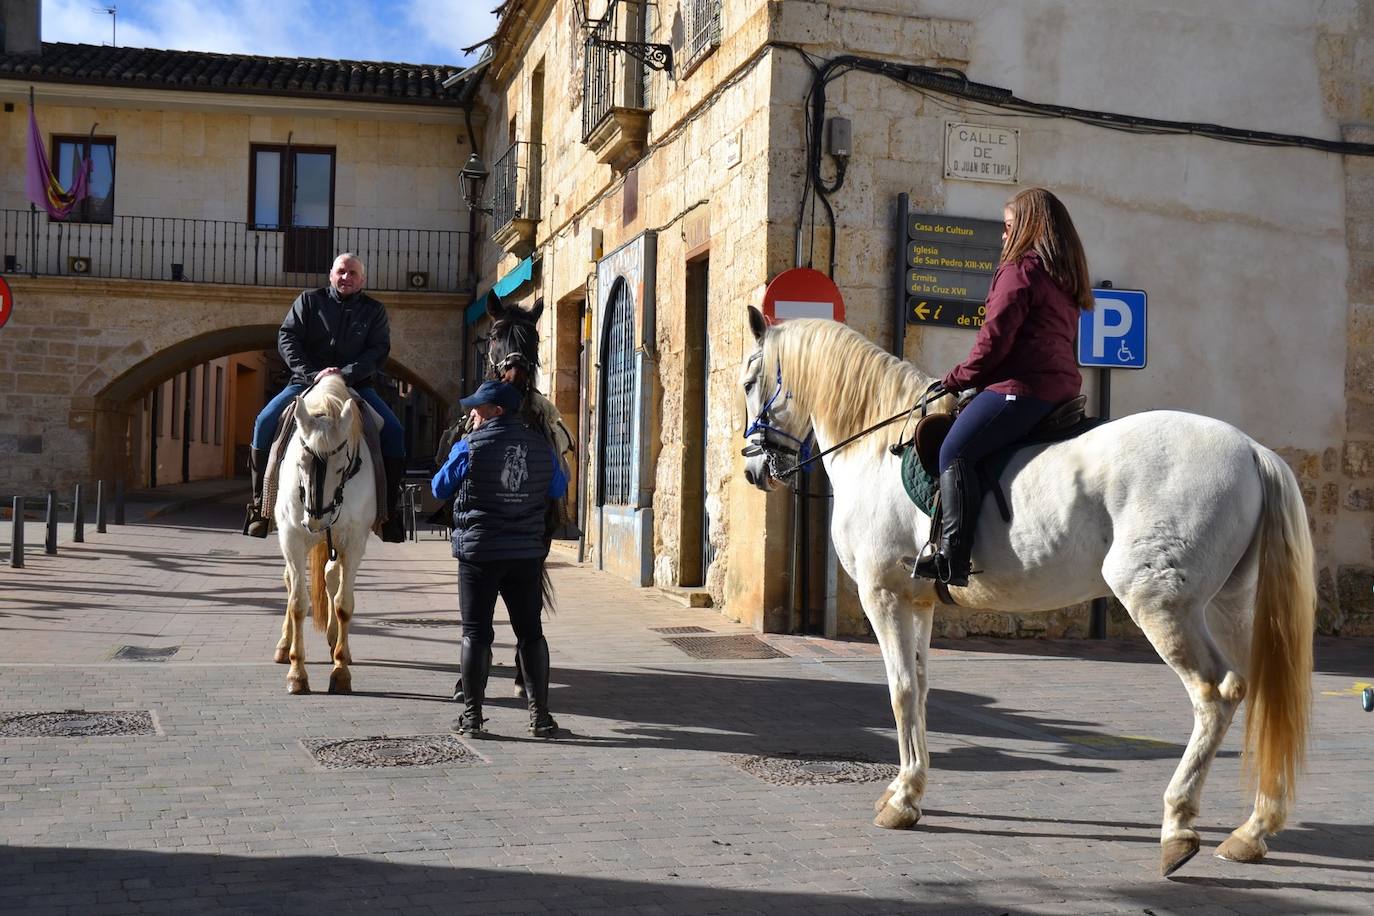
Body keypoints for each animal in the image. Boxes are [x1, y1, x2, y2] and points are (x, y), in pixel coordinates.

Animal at [270, 373, 376, 694]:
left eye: (342, 466)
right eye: (300, 463)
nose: (317, 521)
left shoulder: (354, 542)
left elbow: (343, 604)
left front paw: (340, 671)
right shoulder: (292, 538)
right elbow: (297, 603)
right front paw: (296, 673)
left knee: (331, 578)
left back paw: (337, 645)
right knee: (291, 581)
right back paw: (284, 645)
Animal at [736, 310, 1313, 878]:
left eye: (748, 382)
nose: (753, 468)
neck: (874, 449)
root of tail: (1252, 450)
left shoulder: (885, 597)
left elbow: (899, 691)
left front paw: (901, 802)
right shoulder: (917, 604)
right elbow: (920, 690)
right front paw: (911, 787)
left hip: (1163, 606)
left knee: (1215, 695)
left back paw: (1178, 827)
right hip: (1228, 607)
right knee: (1260, 694)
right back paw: (1252, 831)